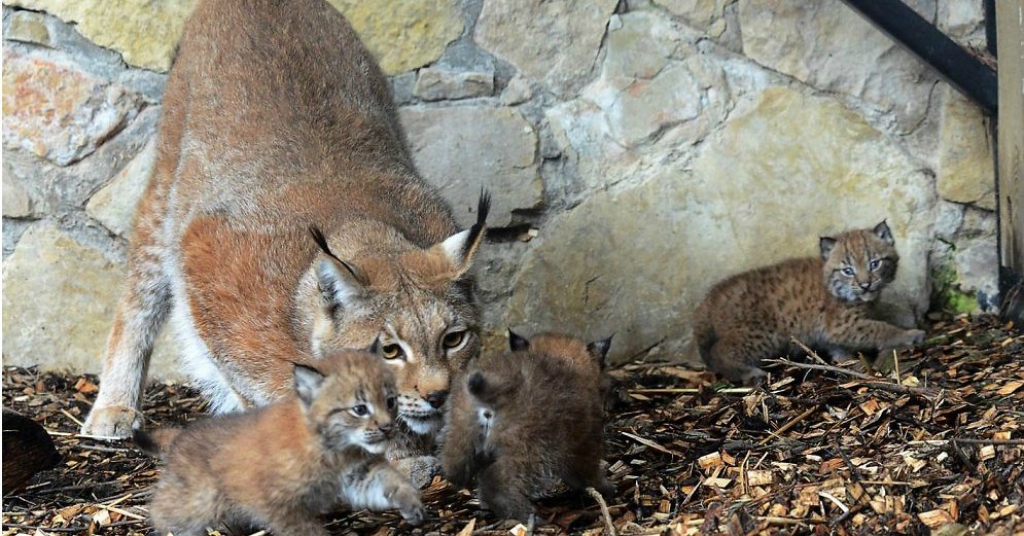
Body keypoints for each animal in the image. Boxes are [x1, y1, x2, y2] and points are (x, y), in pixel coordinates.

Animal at [136, 348, 423, 536]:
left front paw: (410, 502)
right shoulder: (275, 502)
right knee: (161, 511)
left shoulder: (357, 474)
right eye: (360, 409)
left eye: (390, 401)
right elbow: (306, 531)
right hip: (201, 500)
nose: (387, 428)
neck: (335, 449)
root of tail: (184, 432)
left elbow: (388, 481)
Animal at [438, 330, 610, 522]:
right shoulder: (583, 443)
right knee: (497, 483)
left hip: (459, 431)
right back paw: (528, 516)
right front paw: (606, 488)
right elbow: (588, 473)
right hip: (531, 448)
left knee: (454, 470)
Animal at [692, 222, 925, 385]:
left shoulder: (831, 331)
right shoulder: (843, 324)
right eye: (848, 270)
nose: (865, 284)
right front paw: (908, 334)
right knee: (719, 352)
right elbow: (880, 328)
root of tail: (708, 299)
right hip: (762, 334)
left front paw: (847, 360)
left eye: (874, 264)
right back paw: (750, 373)